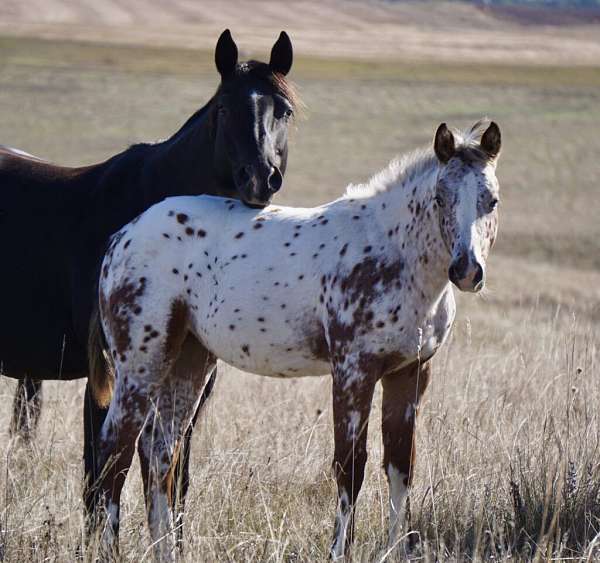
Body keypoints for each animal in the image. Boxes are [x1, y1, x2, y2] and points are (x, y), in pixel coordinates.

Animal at [1, 27, 296, 548]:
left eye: (284, 110)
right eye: (225, 109)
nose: (261, 179)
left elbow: (174, 476)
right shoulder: (108, 379)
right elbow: (101, 480)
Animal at [90, 120, 502, 560]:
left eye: (491, 201)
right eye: (440, 198)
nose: (466, 270)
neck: (396, 256)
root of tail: (122, 237)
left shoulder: (410, 373)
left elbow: (400, 466)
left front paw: (397, 550)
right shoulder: (353, 372)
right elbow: (350, 466)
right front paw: (339, 551)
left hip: (189, 360)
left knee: (160, 452)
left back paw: (166, 551)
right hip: (141, 364)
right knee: (114, 449)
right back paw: (110, 550)